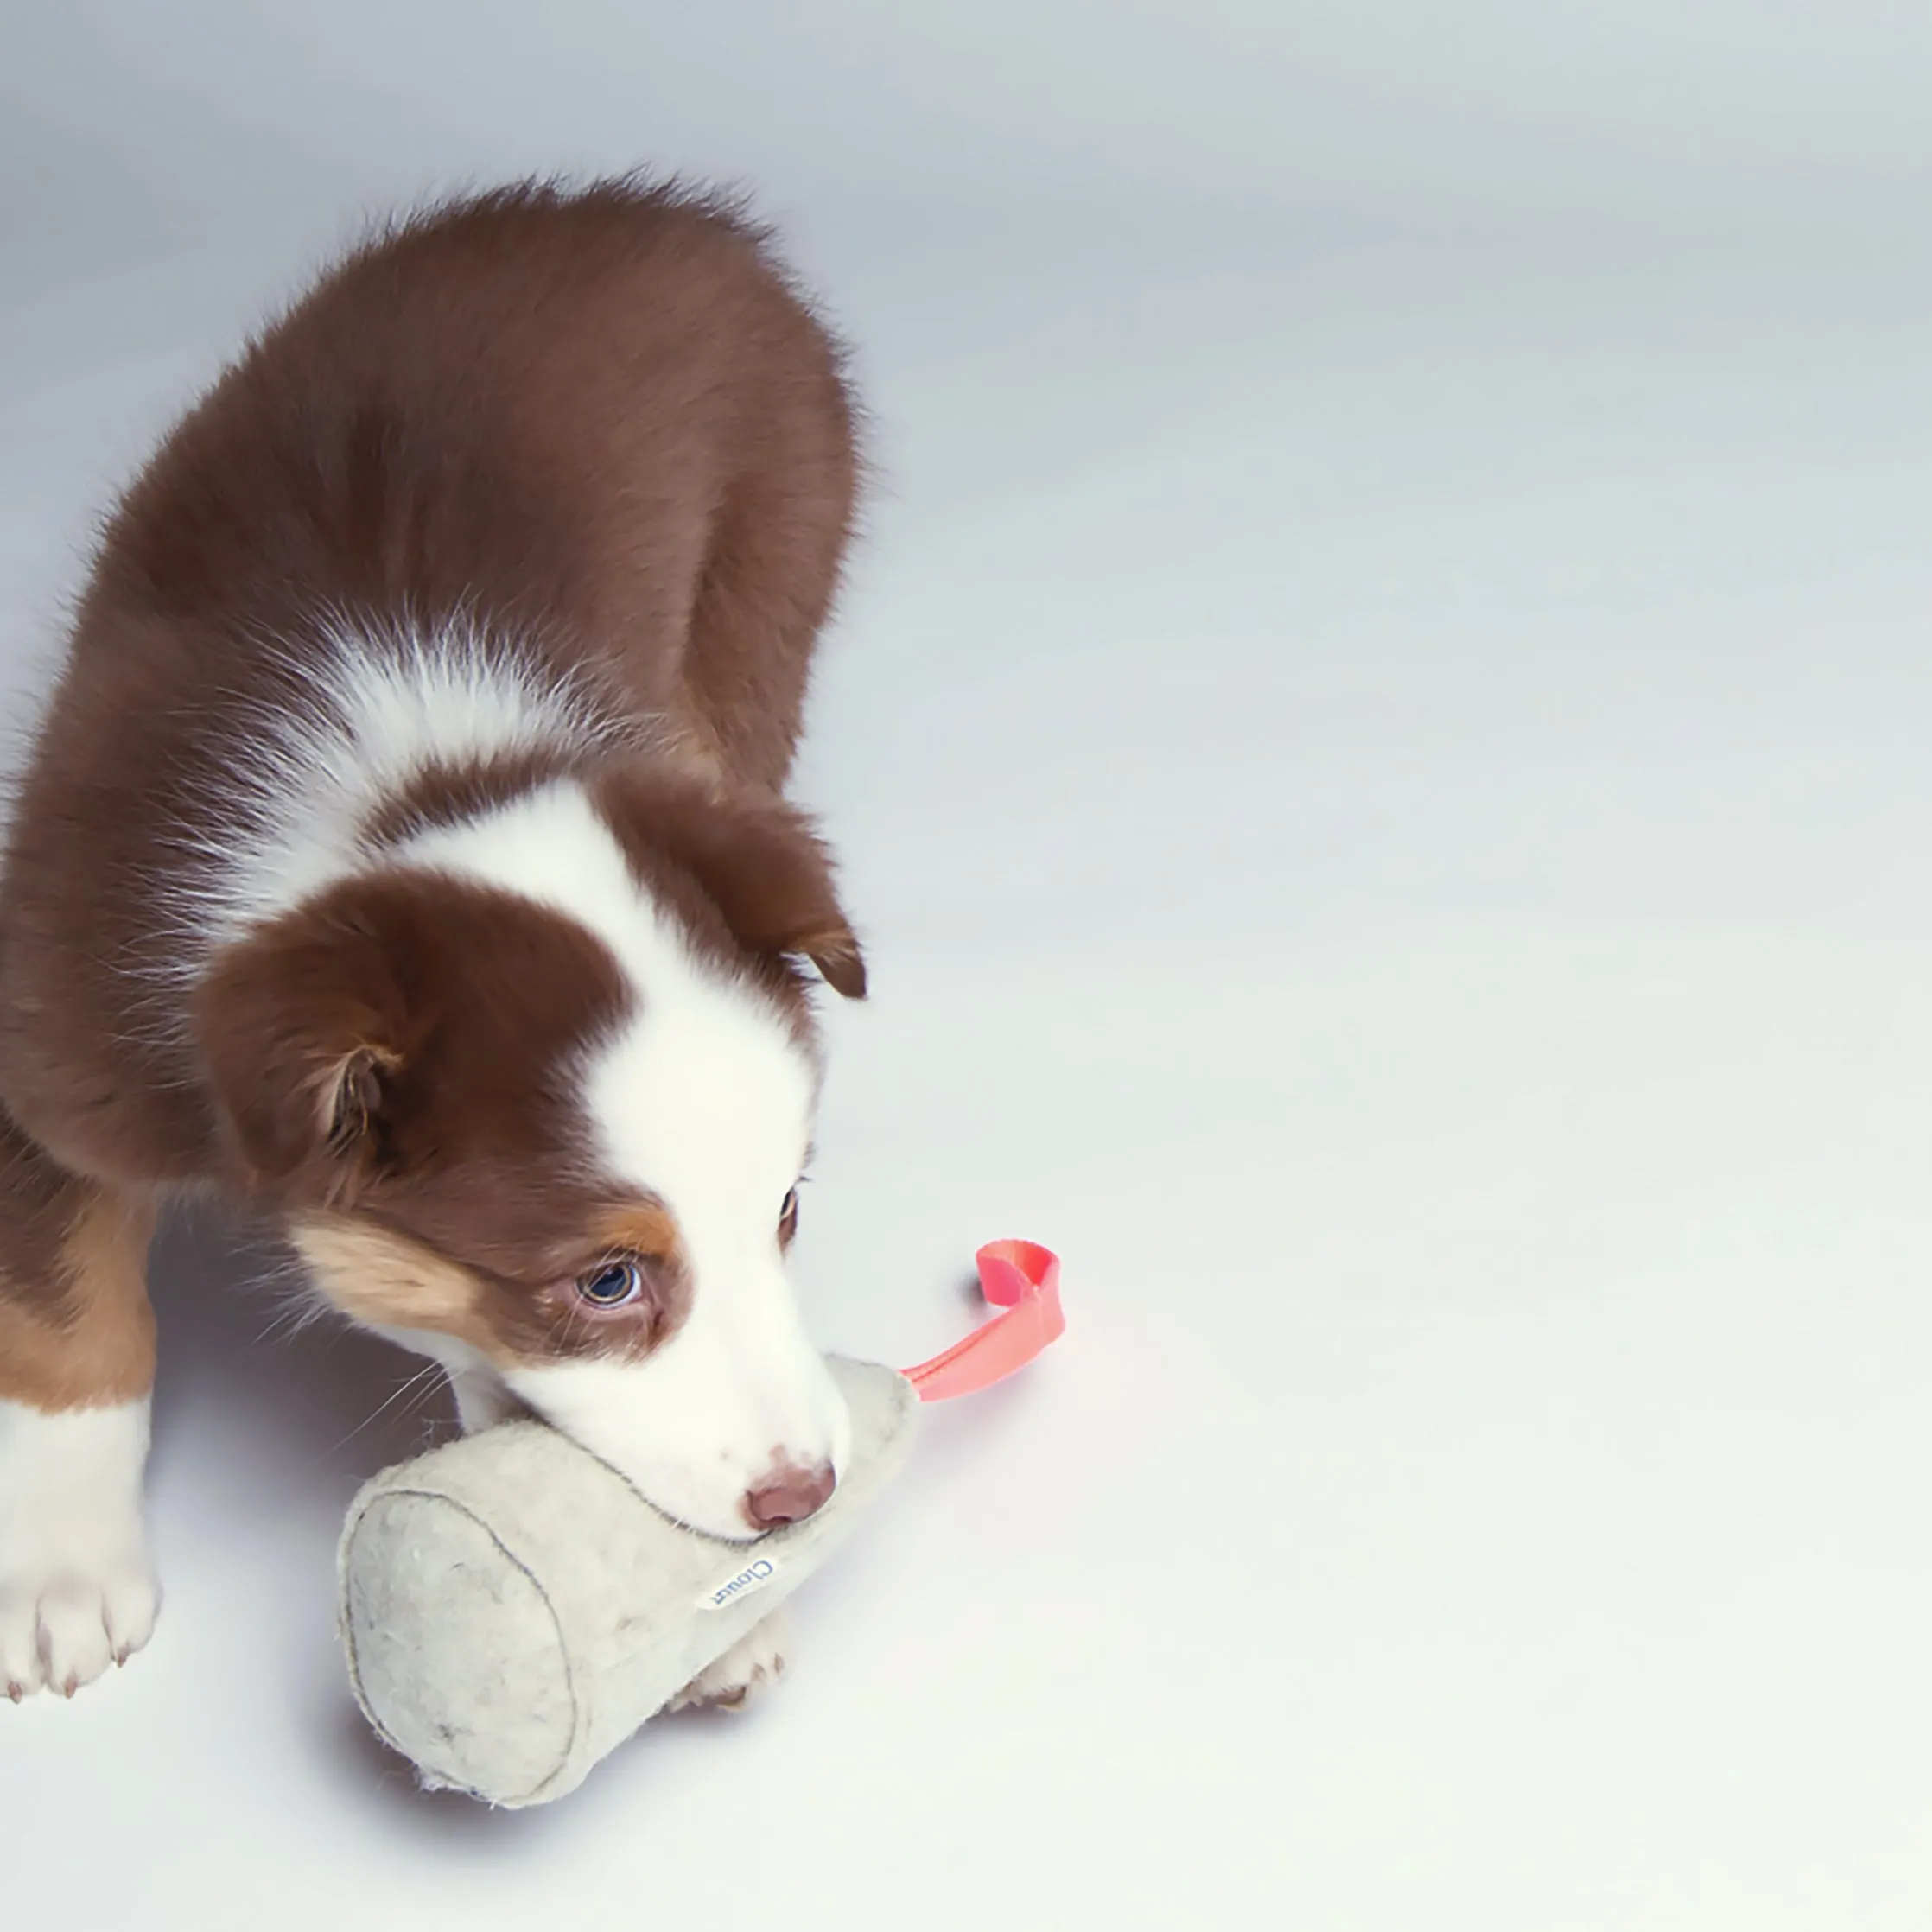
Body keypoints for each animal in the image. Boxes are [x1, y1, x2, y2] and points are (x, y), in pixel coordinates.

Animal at [0, 174, 869, 1700]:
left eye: (786, 1214)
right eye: (606, 1279)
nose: (805, 1497)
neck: (402, 807)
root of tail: (675, 215)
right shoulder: (59, 1016)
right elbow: (64, 1307)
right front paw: (58, 1573)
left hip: (768, 591)